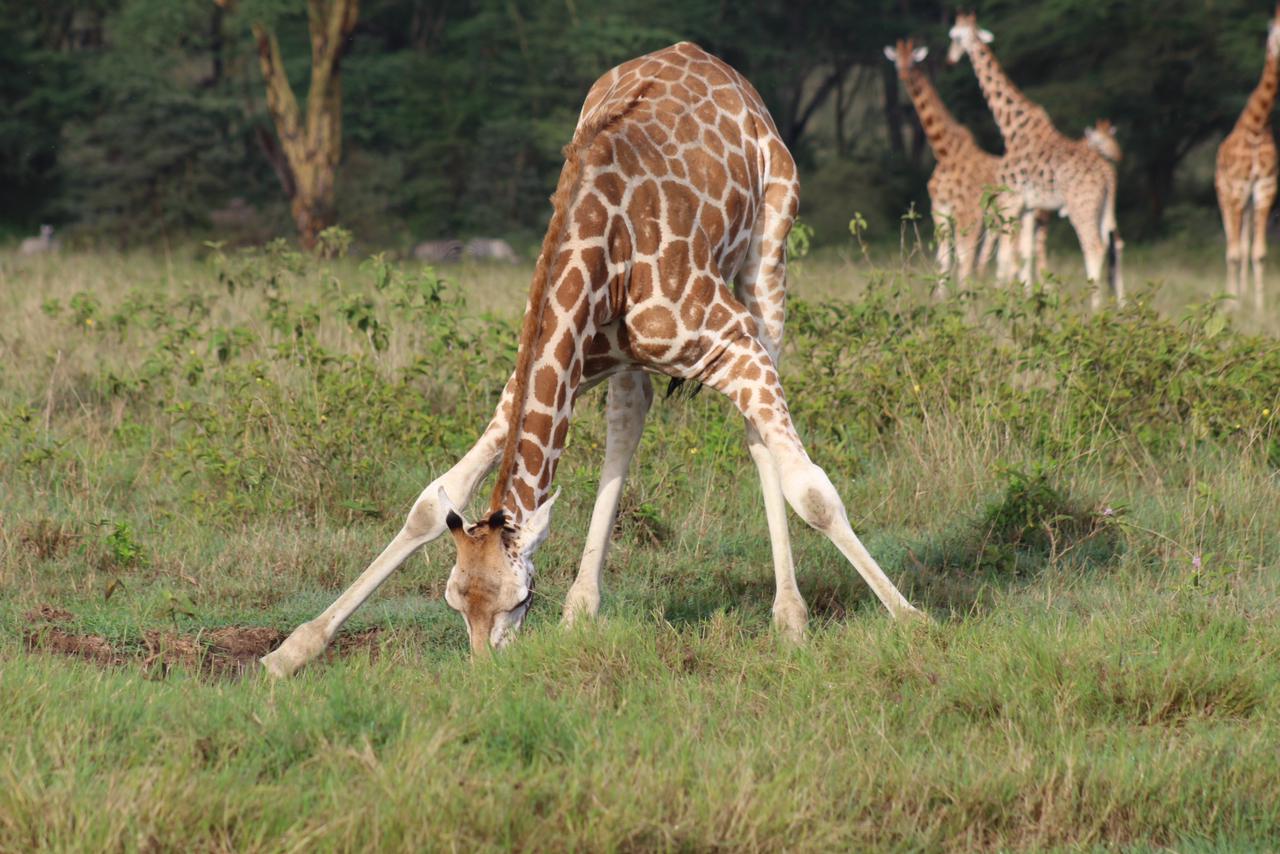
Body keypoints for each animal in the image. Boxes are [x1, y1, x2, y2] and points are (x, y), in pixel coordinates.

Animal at [261, 42, 923, 677]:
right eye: (454, 601)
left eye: (520, 600)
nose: (483, 673)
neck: (605, 247)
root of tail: (718, 65)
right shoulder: (556, 362)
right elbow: (429, 501)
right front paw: (291, 651)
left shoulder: (731, 341)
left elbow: (812, 492)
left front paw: (912, 619)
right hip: (631, 358)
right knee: (628, 422)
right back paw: (583, 610)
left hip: (769, 258)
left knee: (763, 437)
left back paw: (789, 618)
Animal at [884, 38, 1002, 290]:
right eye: (896, 59)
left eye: (914, 60)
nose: (904, 74)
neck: (945, 152)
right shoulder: (939, 208)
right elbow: (944, 261)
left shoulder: (967, 210)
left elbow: (963, 260)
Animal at [948, 13, 1123, 308]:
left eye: (955, 36)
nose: (950, 57)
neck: (1011, 126)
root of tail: (1108, 173)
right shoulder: (1029, 206)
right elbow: (1024, 253)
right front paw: (1026, 299)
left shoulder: (1012, 201)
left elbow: (1007, 257)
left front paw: (1005, 301)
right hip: (1104, 209)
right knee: (1114, 244)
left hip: (1081, 206)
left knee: (1094, 248)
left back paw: (1095, 309)